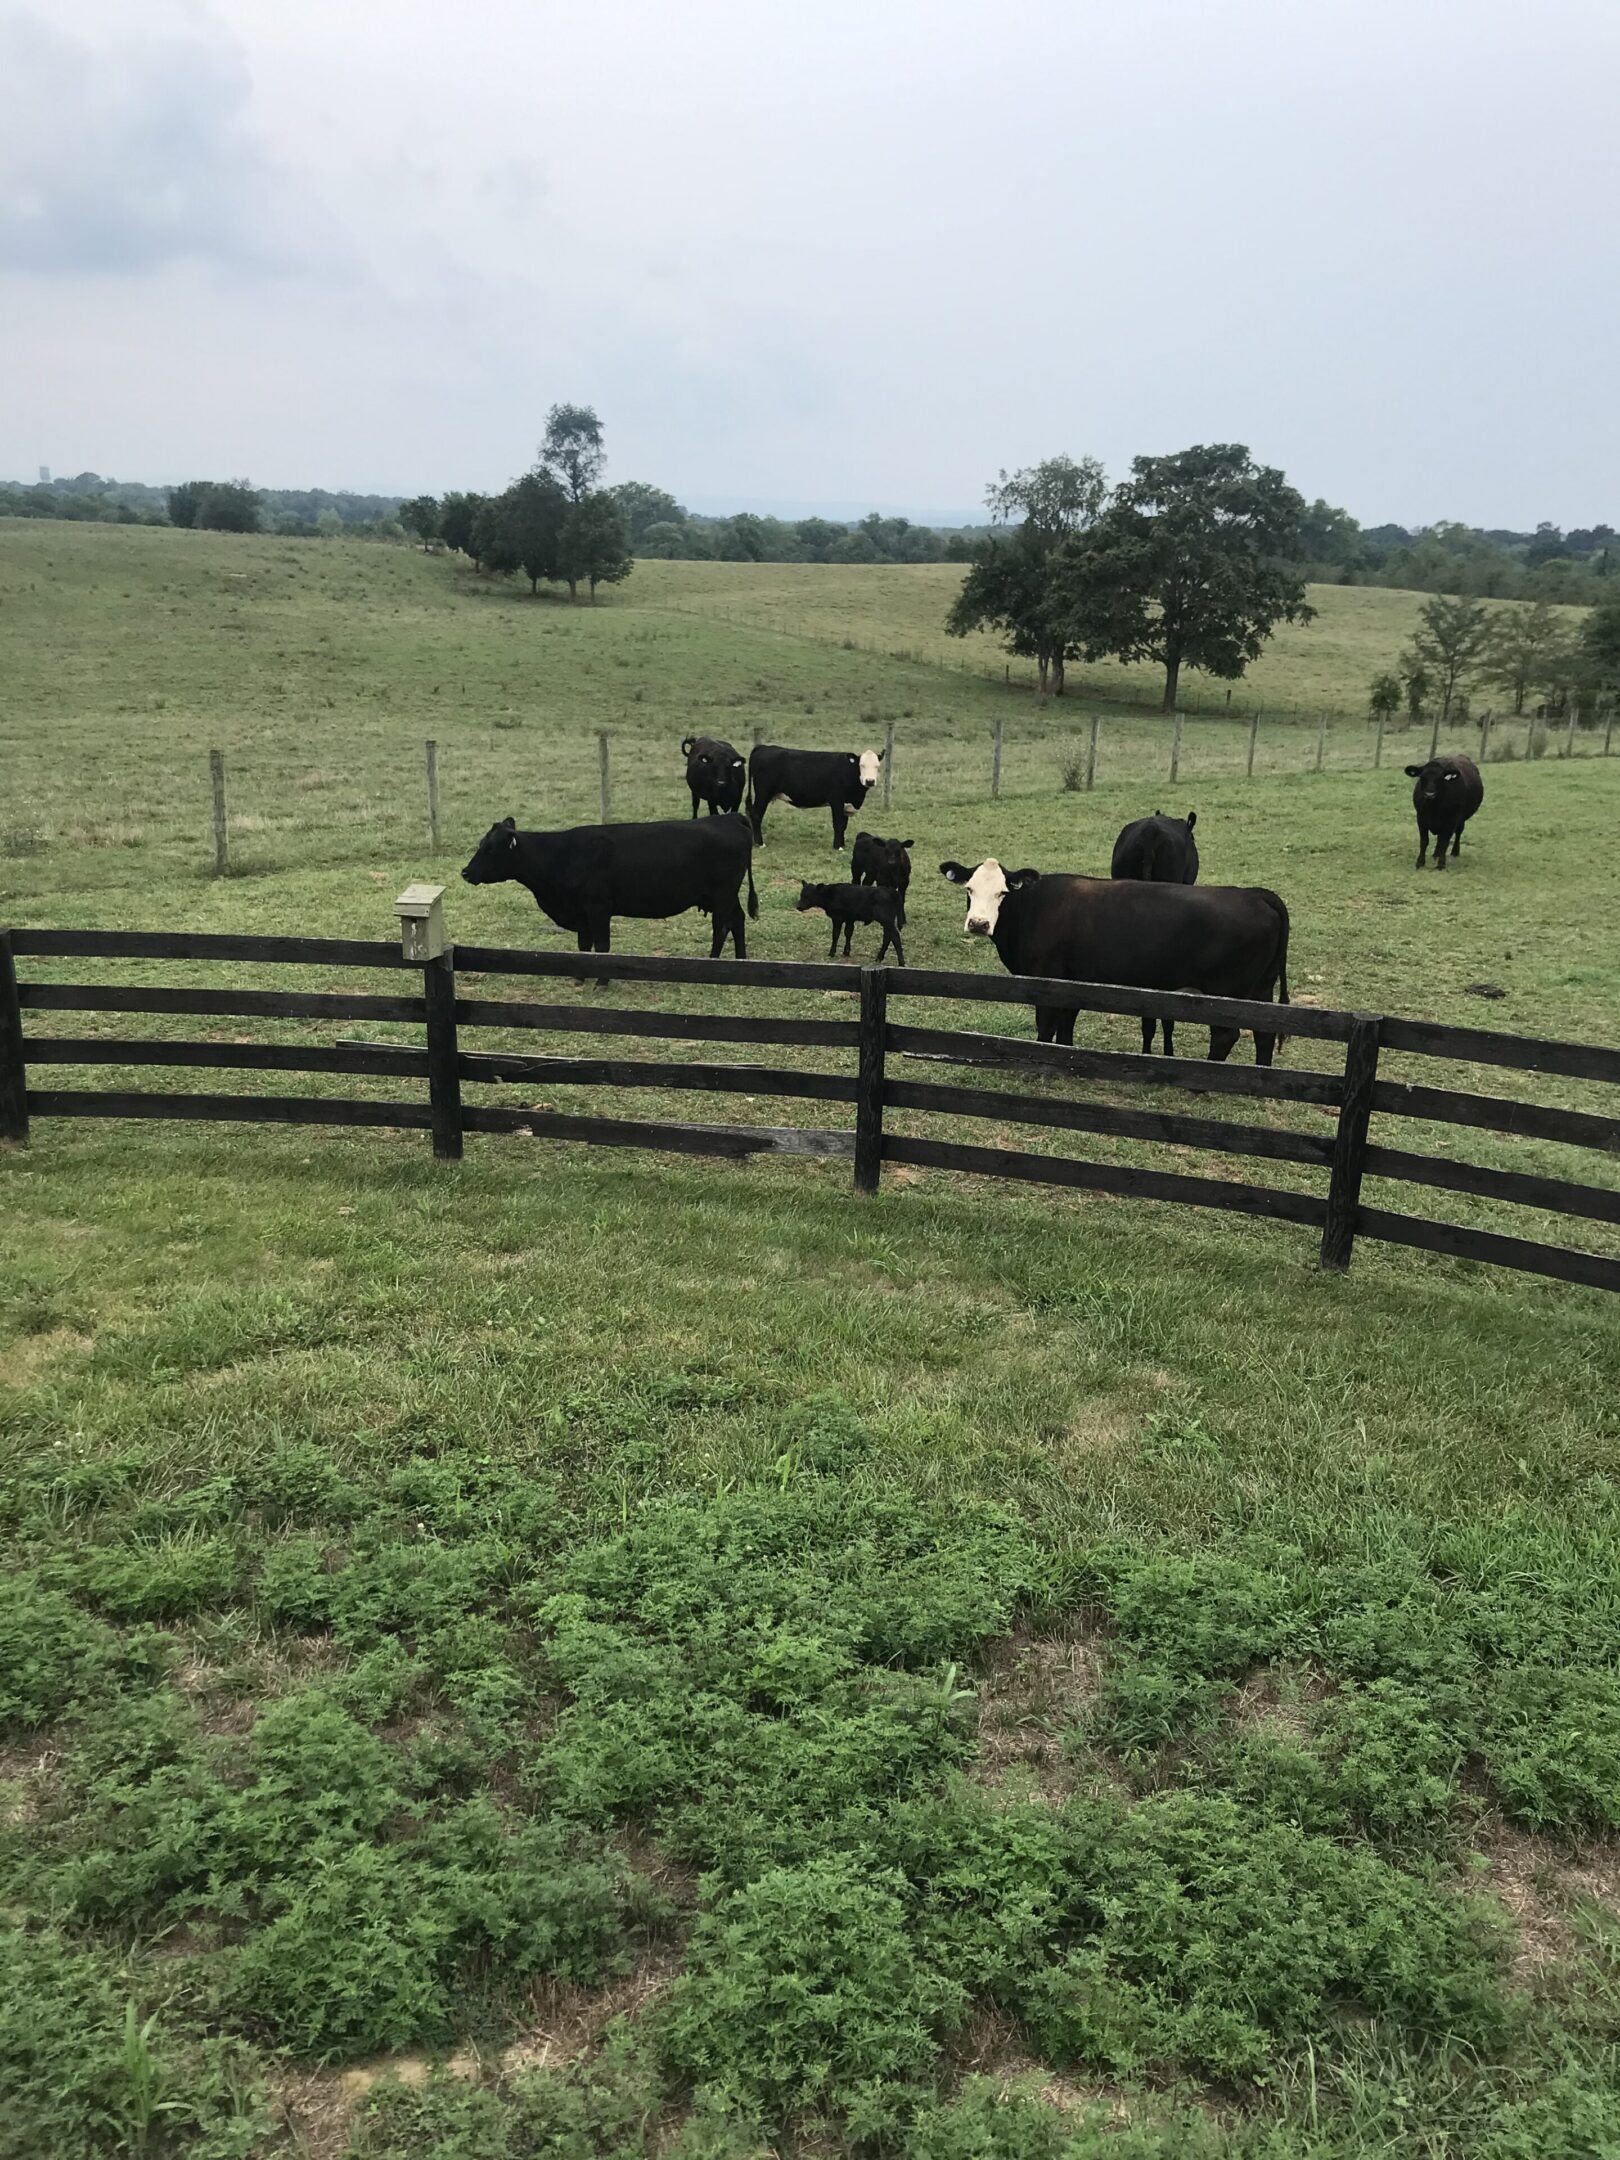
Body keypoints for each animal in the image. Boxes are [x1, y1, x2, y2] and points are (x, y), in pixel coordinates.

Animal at [460, 815, 759, 971]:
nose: (465, 872)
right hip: (722, 896)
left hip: (722, 894)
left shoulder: (598, 908)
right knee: (738, 920)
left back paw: (713, 963)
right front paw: (580, 978)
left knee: (722, 927)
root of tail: (728, 817)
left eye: (490, 849)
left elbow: (602, 947)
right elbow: (584, 946)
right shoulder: (581, 914)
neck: (562, 855)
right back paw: (741, 961)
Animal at [747, 744, 883, 851]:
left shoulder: (846, 805)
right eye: (862, 765)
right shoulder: (837, 801)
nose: (870, 781)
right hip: (763, 793)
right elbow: (838, 824)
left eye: (877, 766)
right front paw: (838, 847)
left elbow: (844, 825)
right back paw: (760, 844)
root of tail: (763, 747)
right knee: (756, 815)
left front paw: (842, 845)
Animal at [938, 858, 1290, 1064]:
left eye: (1002, 893)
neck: (1033, 905)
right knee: (1264, 1032)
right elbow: (1066, 1026)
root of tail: (1256, 894)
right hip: (1261, 989)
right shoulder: (1074, 982)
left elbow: (1047, 1025)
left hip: (1227, 992)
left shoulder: (1048, 980)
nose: (979, 923)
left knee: (1226, 1035)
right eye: (969, 889)